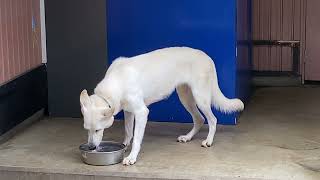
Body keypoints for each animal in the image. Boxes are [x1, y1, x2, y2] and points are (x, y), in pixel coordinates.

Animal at [79, 47, 244, 165]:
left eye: (98, 130)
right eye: (87, 130)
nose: (91, 148)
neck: (118, 80)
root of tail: (207, 57)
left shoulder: (141, 112)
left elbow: (137, 139)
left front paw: (132, 157)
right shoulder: (128, 111)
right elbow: (128, 131)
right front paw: (125, 145)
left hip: (200, 98)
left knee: (212, 120)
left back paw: (208, 141)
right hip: (185, 98)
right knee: (199, 119)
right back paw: (187, 137)